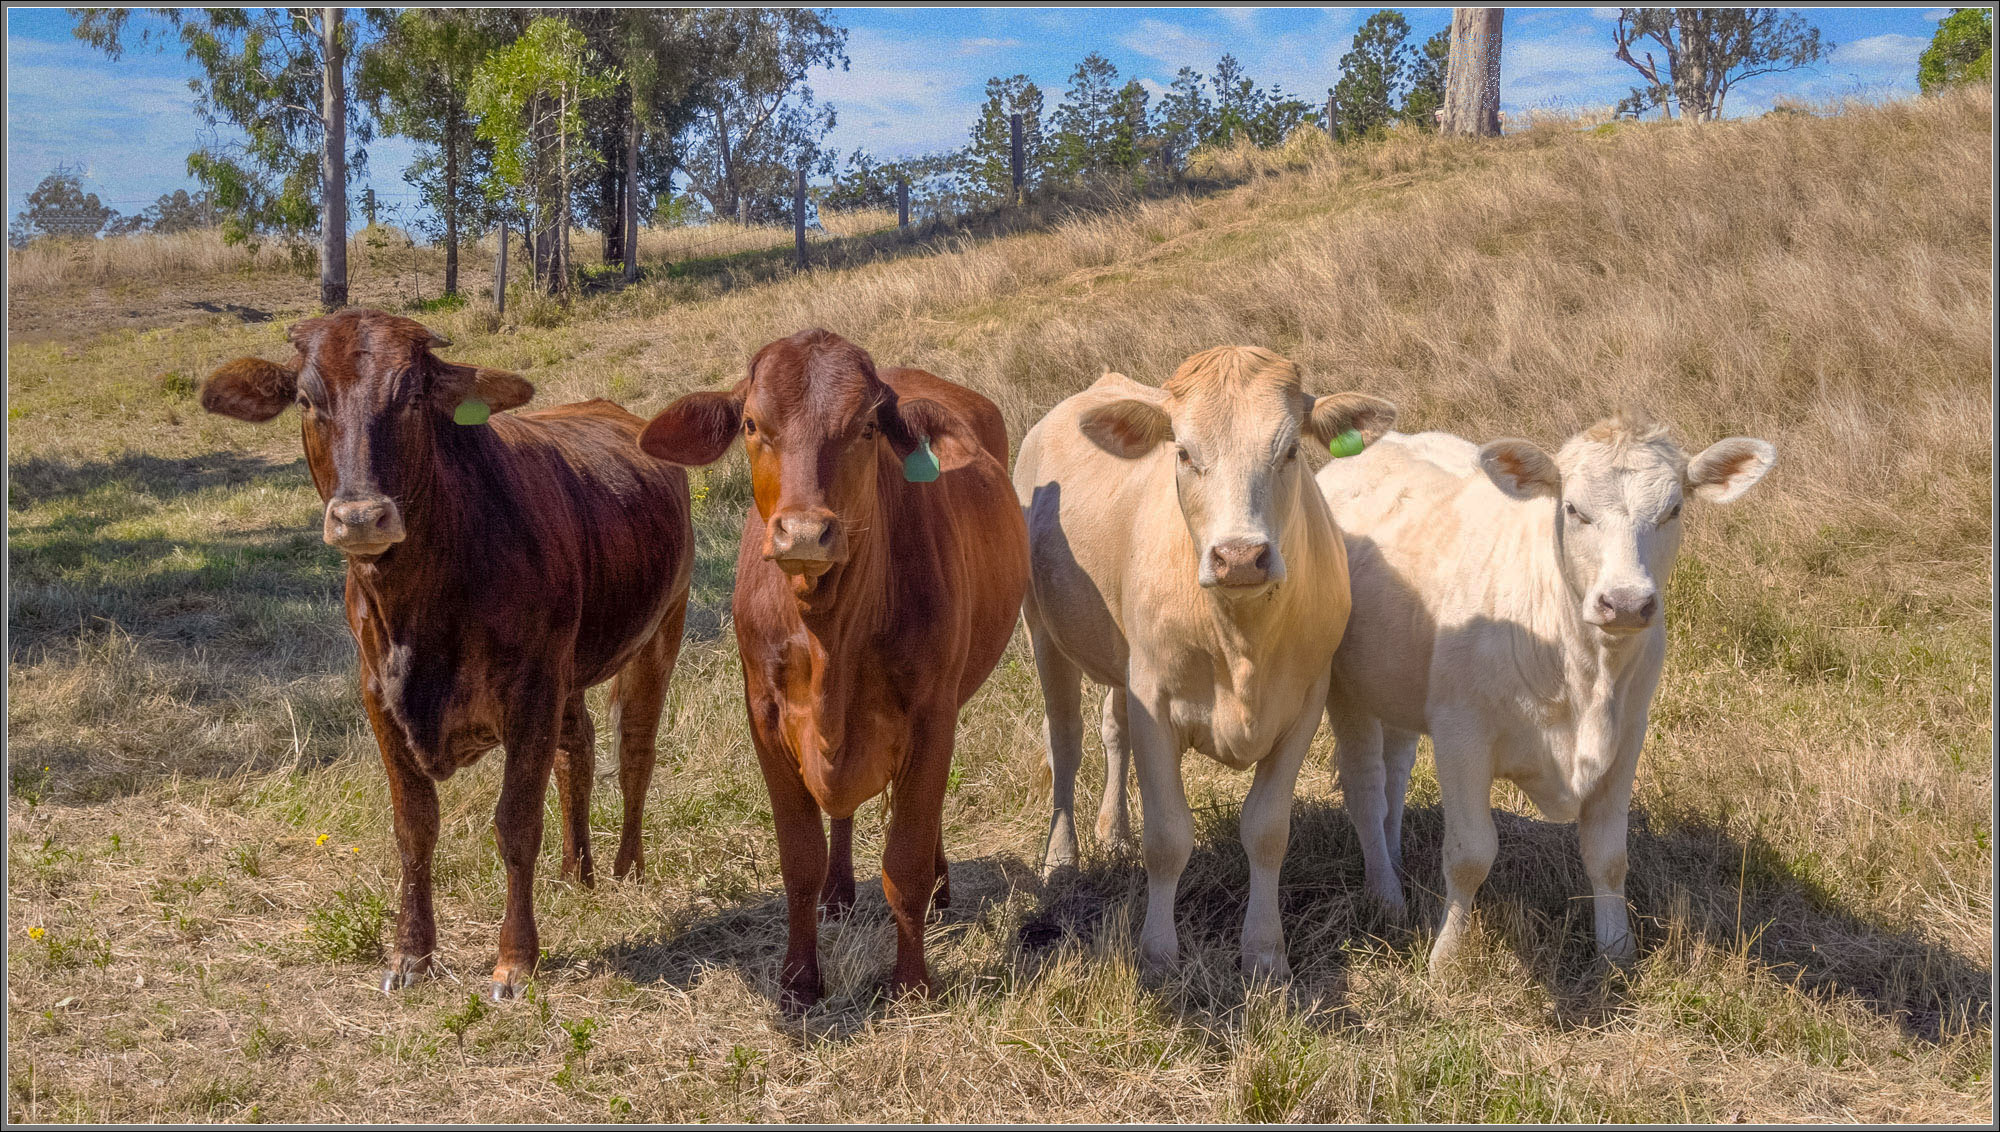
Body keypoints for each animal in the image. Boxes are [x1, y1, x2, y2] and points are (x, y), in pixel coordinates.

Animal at [197, 310, 696, 1004]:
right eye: (306, 399)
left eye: (412, 397)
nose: (361, 516)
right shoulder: (379, 697)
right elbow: (414, 828)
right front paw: (411, 953)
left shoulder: (531, 693)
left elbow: (516, 824)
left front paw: (515, 961)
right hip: (572, 672)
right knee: (578, 749)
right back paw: (576, 872)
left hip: (660, 630)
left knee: (634, 752)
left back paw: (627, 869)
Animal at [640, 330, 1032, 1012]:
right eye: (751, 424)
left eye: (868, 426)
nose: (803, 532)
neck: (830, 636)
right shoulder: (765, 718)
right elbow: (800, 863)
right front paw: (800, 979)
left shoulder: (933, 715)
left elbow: (904, 861)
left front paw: (911, 983)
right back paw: (840, 895)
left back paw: (939, 884)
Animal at [1016, 350, 1392, 980]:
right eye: (1184, 453)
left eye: (1291, 451)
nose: (1240, 556)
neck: (1241, 644)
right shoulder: (1155, 700)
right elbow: (1168, 837)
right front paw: (1157, 953)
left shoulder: (1304, 705)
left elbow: (1267, 830)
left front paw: (1265, 951)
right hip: (1042, 628)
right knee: (1064, 740)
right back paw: (1062, 857)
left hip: (1120, 661)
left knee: (1112, 728)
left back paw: (1113, 830)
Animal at [1320, 414, 1776, 968]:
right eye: (1574, 509)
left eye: (1674, 510)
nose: (1626, 602)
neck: (1585, 674)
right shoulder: (1460, 733)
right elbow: (1470, 855)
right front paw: (1447, 958)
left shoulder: (1628, 736)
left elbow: (1608, 855)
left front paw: (1617, 949)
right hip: (1347, 689)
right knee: (1366, 788)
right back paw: (1386, 893)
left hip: (1396, 685)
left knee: (1396, 772)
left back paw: (1394, 858)